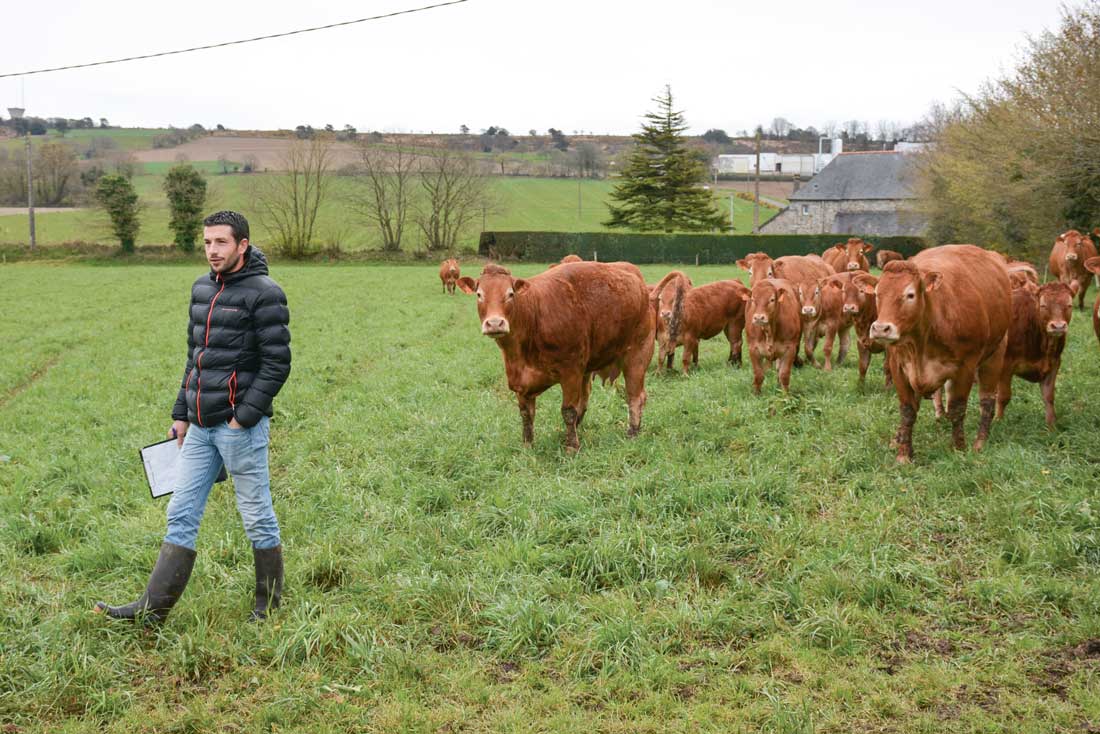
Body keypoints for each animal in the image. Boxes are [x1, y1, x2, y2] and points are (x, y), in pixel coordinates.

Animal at [455, 260, 651, 451]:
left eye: (510, 294)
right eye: (479, 294)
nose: (495, 323)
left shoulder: (570, 373)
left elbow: (568, 411)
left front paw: (571, 447)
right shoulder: (520, 382)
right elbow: (526, 415)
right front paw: (527, 446)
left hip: (637, 353)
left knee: (635, 396)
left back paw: (632, 432)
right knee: (586, 397)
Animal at [866, 246, 1012, 464]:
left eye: (910, 294)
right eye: (877, 294)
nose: (880, 329)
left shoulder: (965, 367)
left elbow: (958, 409)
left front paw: (958, 448)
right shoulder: (898, 366)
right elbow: (908, 410)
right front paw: (903, 453)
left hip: (995, 354)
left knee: (987, 401)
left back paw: (980, 442)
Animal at [994, 281, 1069, 431]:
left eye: (1069, 305)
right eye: (1043, 305)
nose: (1058, 326)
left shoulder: (1054, 362)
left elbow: (1049, 396)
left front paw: (1052, 426)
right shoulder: (1006, 364)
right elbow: (1003, 396)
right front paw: (997, 422)